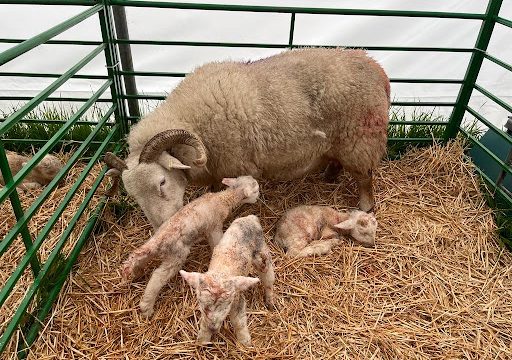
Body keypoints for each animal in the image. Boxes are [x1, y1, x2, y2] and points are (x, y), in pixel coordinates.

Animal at [105, 47, 392, 229]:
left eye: (162, 182)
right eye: (133, 194)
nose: (162, 227)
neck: (193, 120)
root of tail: (378, 69)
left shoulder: (234, 164)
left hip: (360, 139)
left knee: (365, 178)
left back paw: (365, 206)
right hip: (340, 141)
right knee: (337, 161)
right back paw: (329, 176)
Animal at [120, 176, 260, 316]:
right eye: (256, 190)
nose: (258, 198)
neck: (223, 199)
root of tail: (160, 240)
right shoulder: (214, 226)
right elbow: (216, 242)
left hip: (153, 245)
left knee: (139, 256)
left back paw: (137, 272)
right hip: (177, 255)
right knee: (157, 276)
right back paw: (146, 307)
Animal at [181, 214, 276, 346]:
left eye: (225, 307)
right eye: (202, 306)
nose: (213, 328)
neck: (221, 272)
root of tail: (251, 218)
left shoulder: (237, 299)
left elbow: (239, 322)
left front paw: (245, 342)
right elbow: (204, 323)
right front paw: (202, 340)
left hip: (262, 253)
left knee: (268, 277)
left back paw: (270, 301)